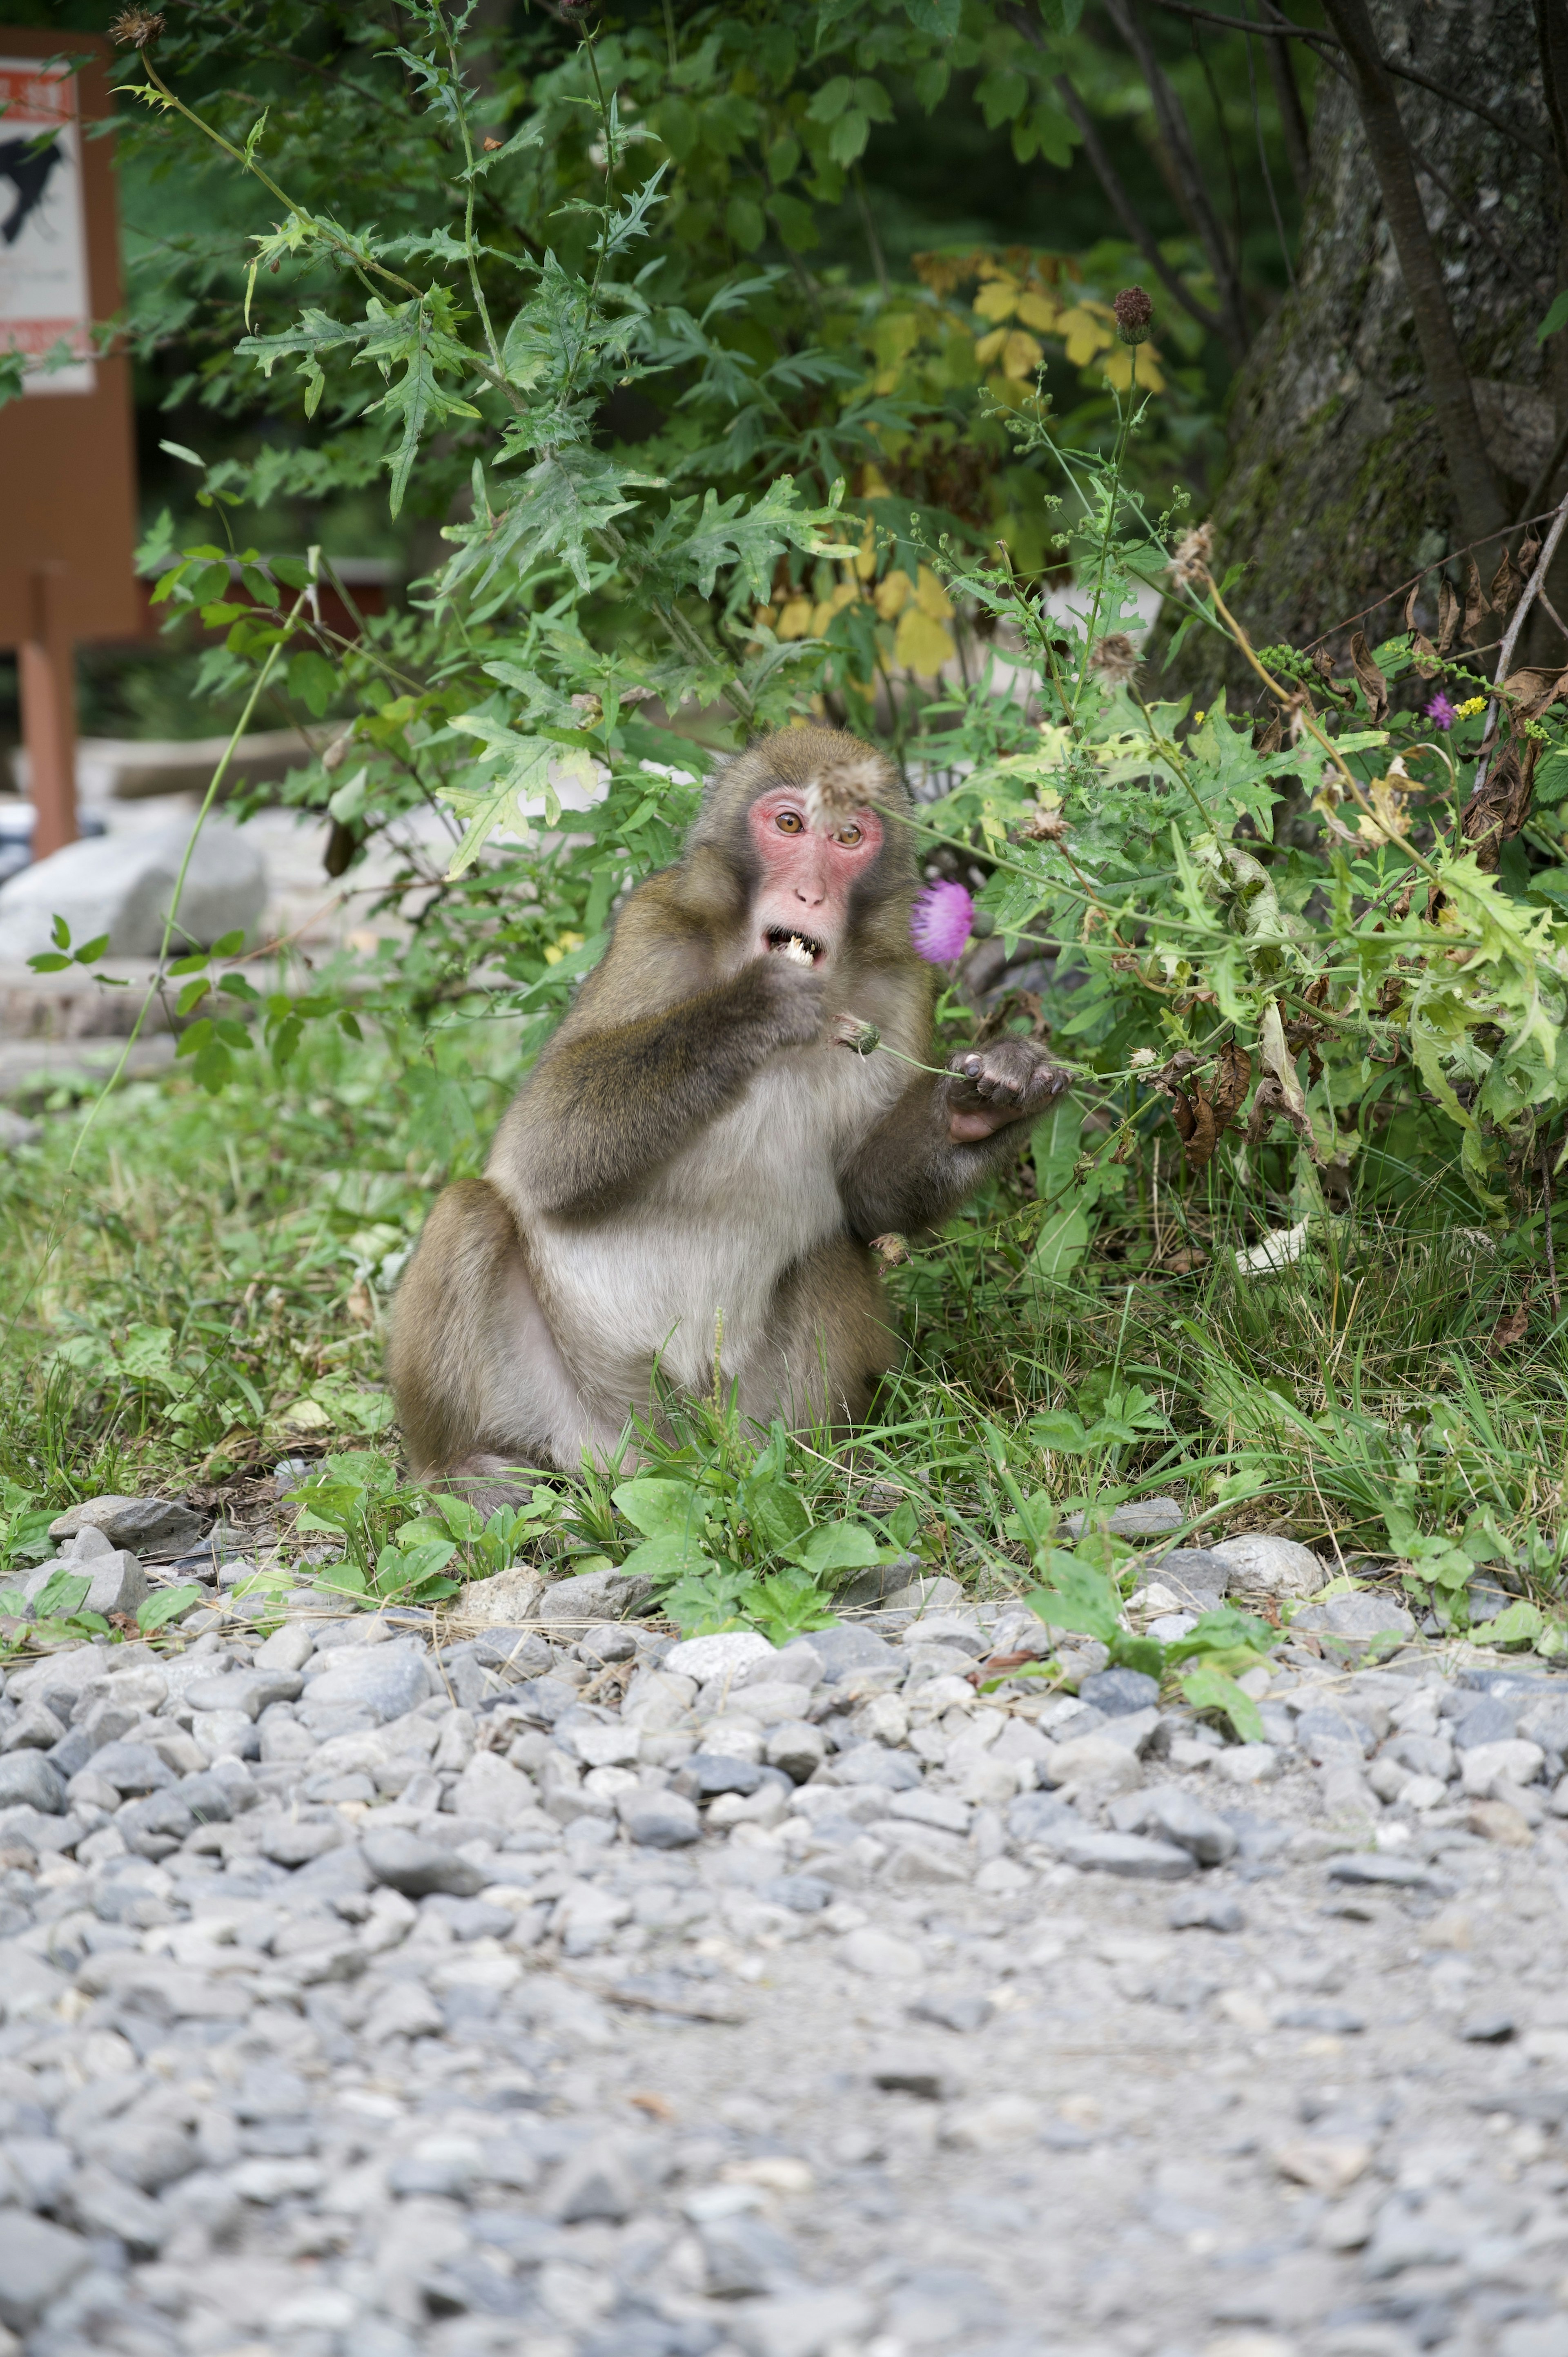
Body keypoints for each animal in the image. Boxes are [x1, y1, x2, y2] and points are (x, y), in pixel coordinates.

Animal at [391, 726, 1070, 1480]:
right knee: (472, 1209)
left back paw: (811, 1467)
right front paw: (754, 1005)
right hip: (575, 1419)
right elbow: (541, 1149)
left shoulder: (903, 987)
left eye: (849, 836)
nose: (809, 893)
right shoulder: (654, 931)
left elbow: (865, 1201)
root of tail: (677, 1451)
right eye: (789, 824)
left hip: (751, 1413)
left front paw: (983, 1105)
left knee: (831, 1249)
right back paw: (458, 1469)